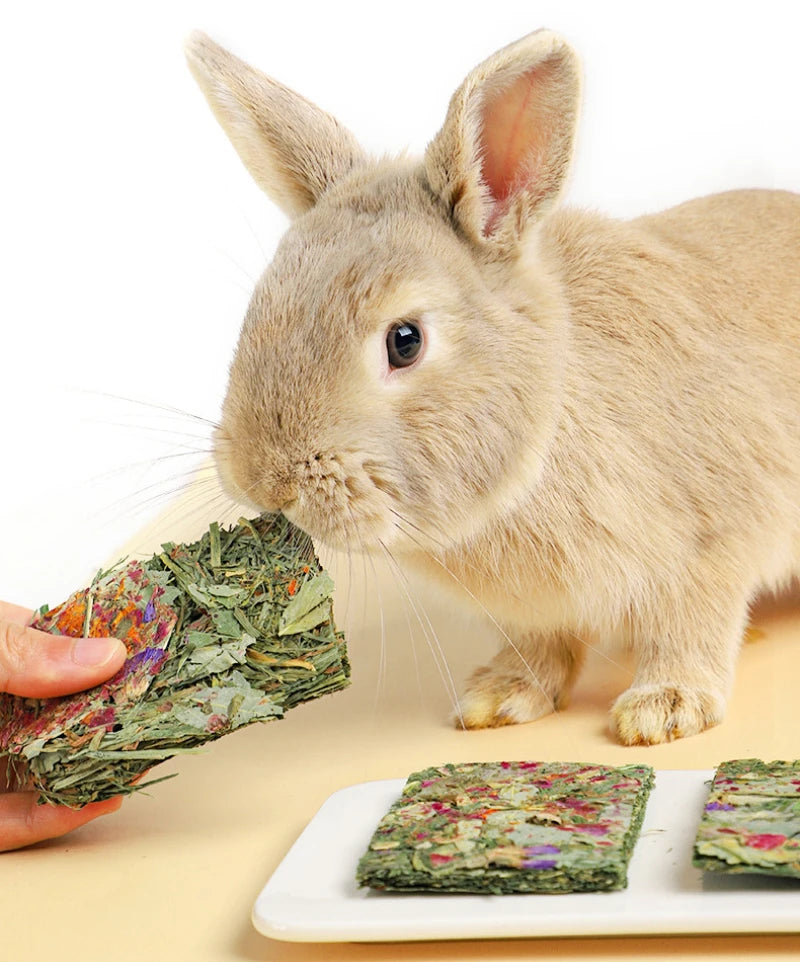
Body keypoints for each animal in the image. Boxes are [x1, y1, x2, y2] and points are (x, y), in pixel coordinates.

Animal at [185, 29, 800, 745]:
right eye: (258, 307)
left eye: (405, 341)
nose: (264, 482)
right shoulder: (536, 610)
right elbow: (540, 648)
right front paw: (499, 698)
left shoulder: (714, 538)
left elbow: (693, 626)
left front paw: (662, 710)